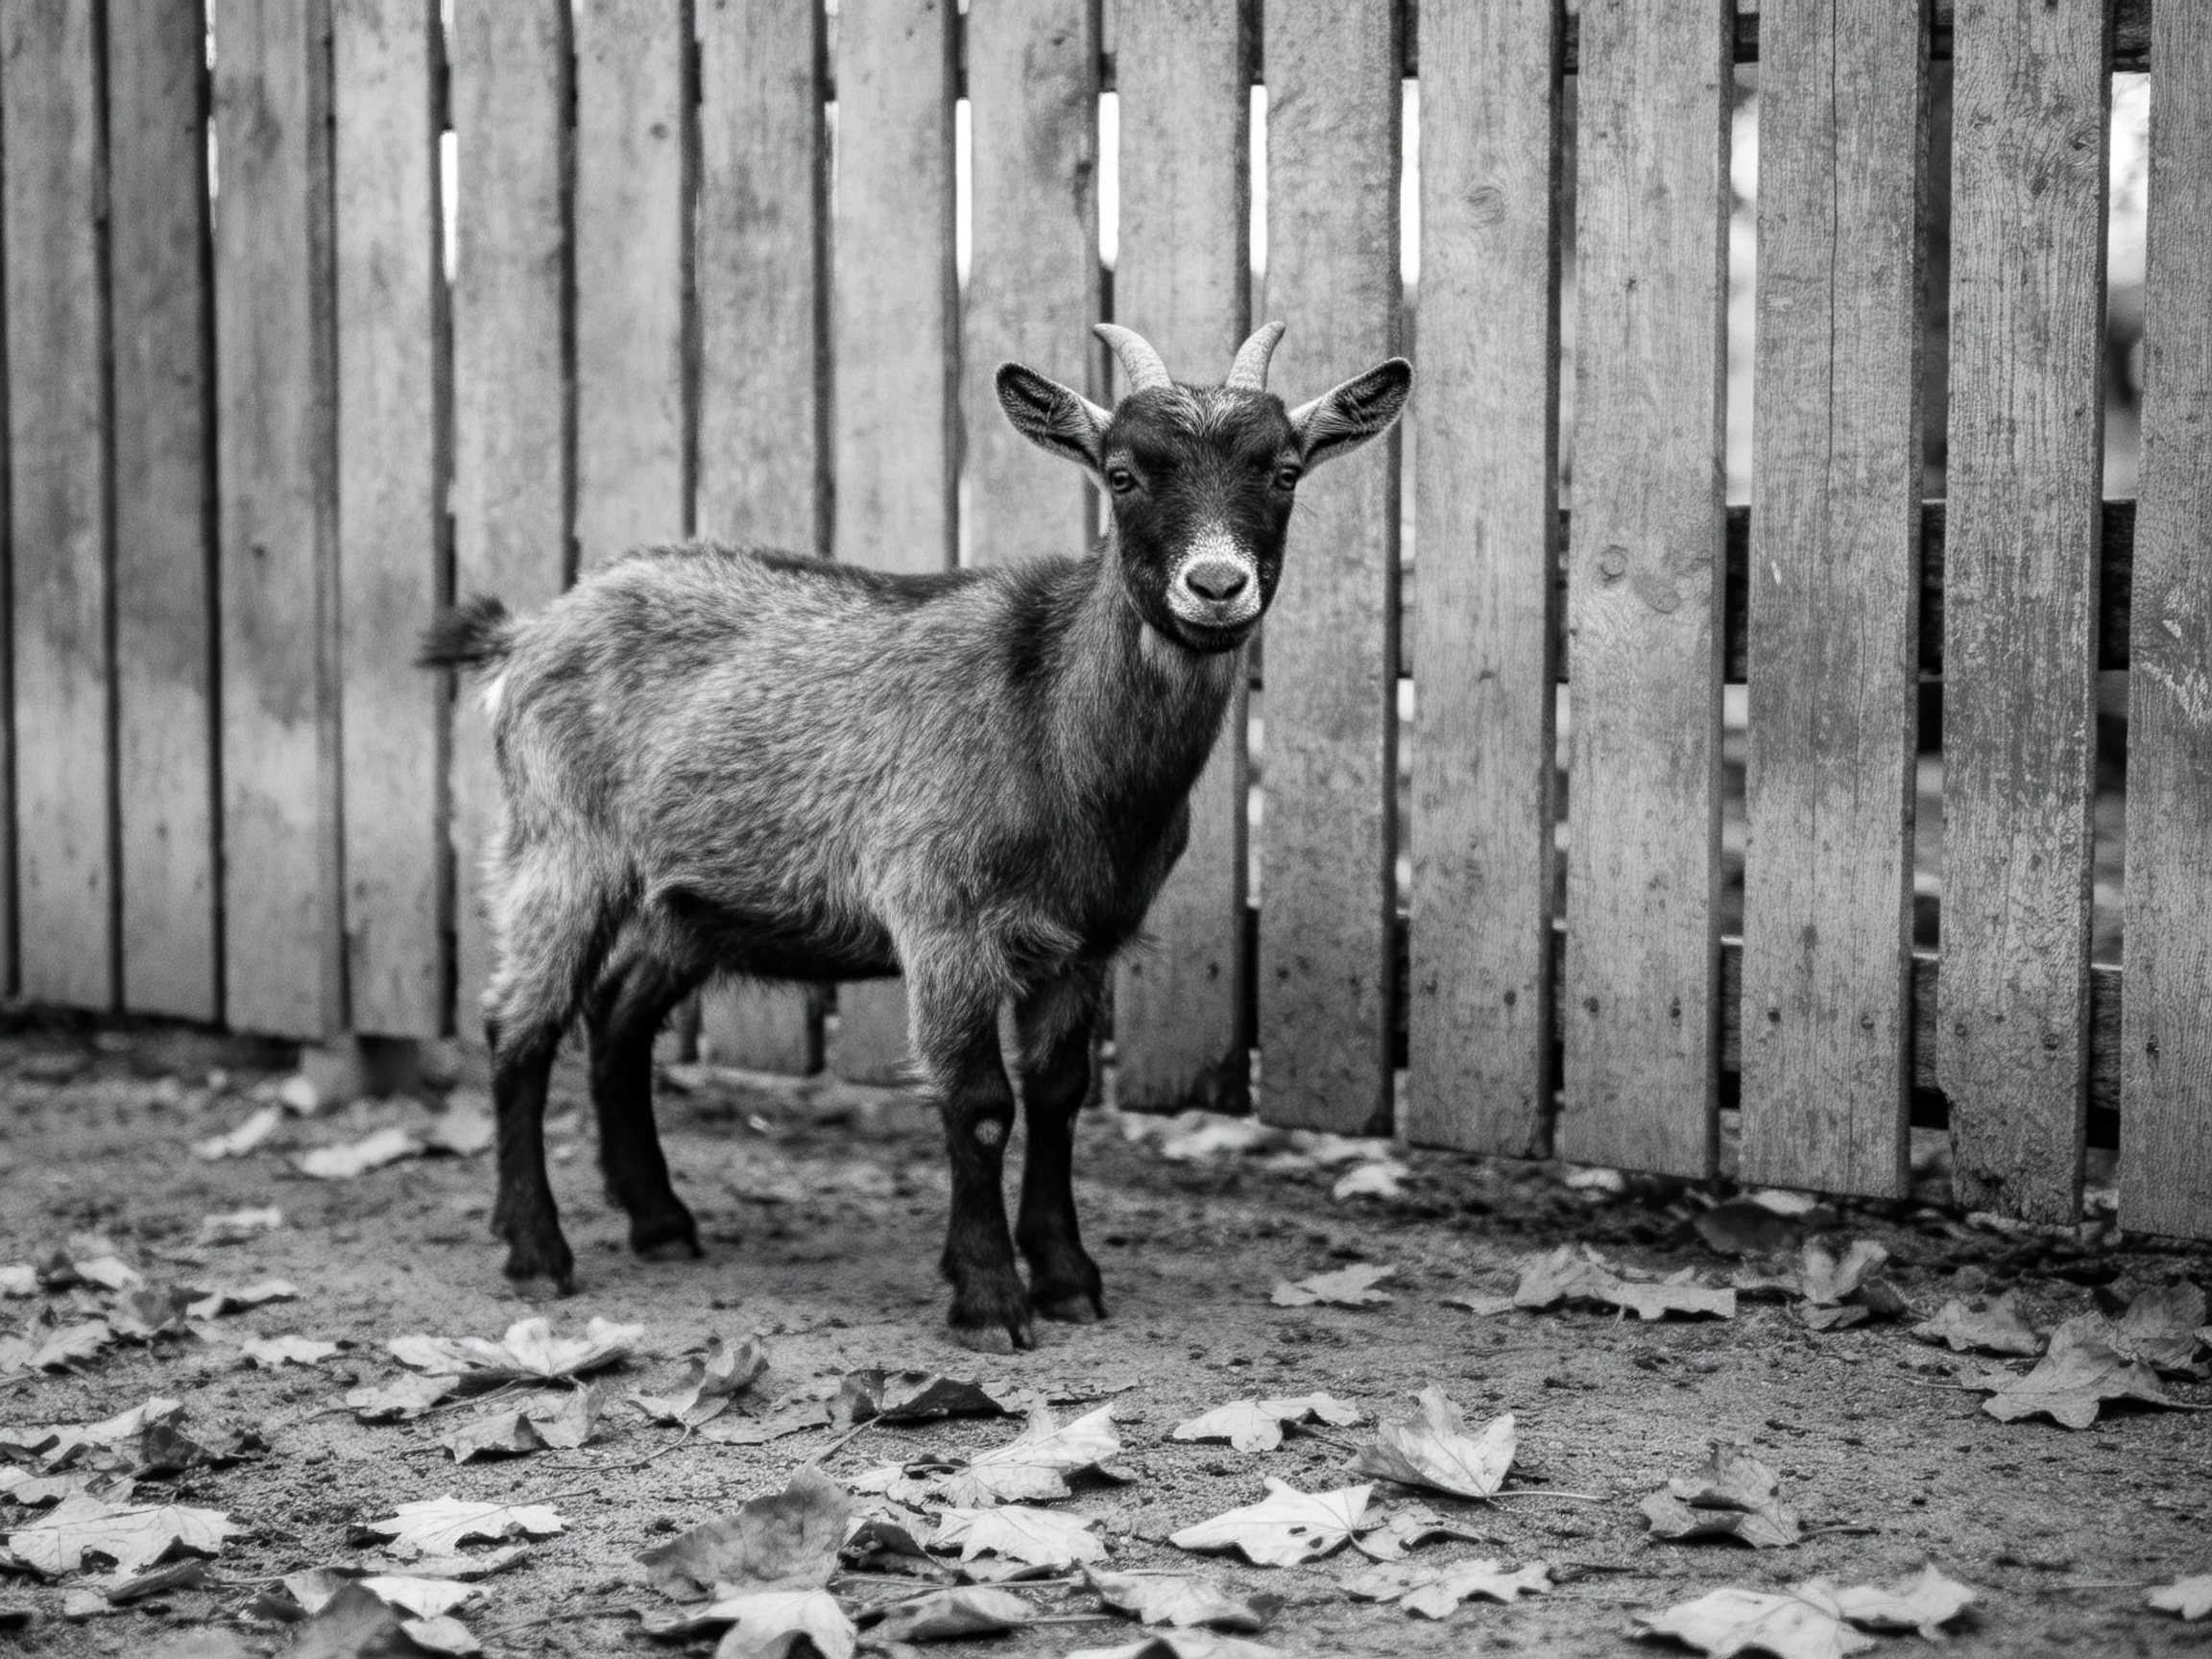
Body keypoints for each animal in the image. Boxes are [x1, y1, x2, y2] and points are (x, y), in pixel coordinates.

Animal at [421, 321, 1411, 1348]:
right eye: (1124, 473)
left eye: (1285, 471)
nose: (1216, 585)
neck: (1050, 726)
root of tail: (525, 634)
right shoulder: (945, 923)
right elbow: (980, 1107)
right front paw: (989, 1298)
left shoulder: (1086, 942)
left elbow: (1057, 1099)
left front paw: (1068, 1278)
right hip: (560, 846)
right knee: (519, 1025)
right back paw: (537, 1251)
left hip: (690, 902)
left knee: (618, 1019)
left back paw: (660, 1222)